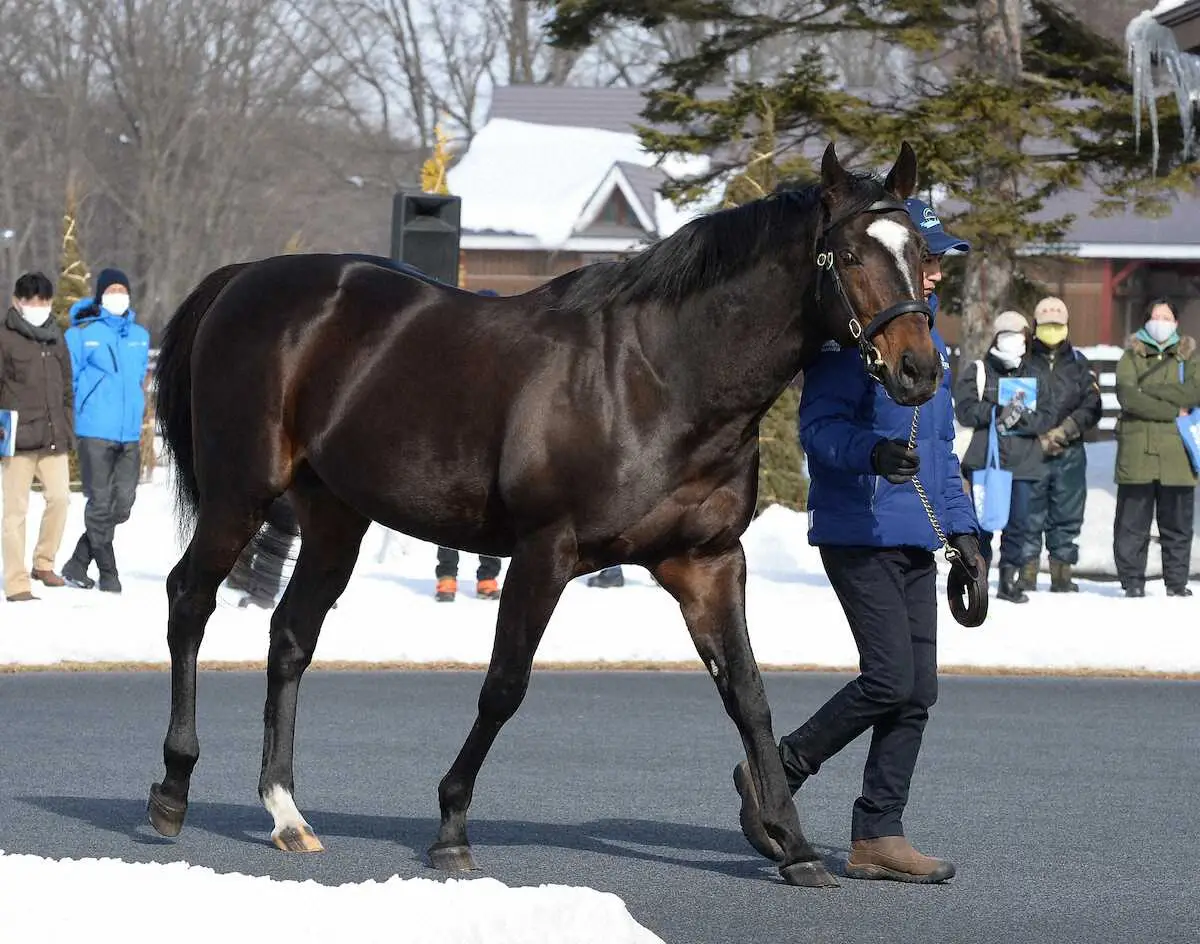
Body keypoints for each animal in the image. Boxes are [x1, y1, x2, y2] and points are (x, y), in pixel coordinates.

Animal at [147, 140, 936, 887]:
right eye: (853, 254)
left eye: (921, 256)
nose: (919, 369)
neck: (657, 377)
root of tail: (244, 278)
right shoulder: (544, 552)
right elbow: (504, 687)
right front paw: (452, 827)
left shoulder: (707, 562)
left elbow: (749, 696)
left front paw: (793, 846)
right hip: (240, 493)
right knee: (189, 599)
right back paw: (173, 789)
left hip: (337, 516)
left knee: (290, 635)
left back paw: (285, 811)